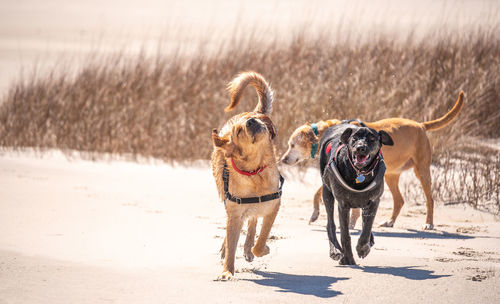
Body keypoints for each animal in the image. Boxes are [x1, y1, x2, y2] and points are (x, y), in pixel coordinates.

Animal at [210, 72, 282, 280]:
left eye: (251, 121)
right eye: (239, 130)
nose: (251, 121)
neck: (254, 172)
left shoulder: (273, 207)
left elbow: (262, 237)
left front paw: (262, 249)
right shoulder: (234, 213)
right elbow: (231, 242)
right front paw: (227, 272)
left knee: (252, 223)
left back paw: (249, 249)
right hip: (227, 201)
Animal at [282, 91, 464, 229]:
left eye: (292, 145)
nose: (282, 160)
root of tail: (421, 125)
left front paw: (348, 222)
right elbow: (318, 194)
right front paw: (316, 215)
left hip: (422, 171)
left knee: (429, 199)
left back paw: (428, 223)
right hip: (391, 175)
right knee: (399, 200)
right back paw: (390, 222)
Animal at [320, 122, 394, 264]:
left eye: (372, 138)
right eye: (354, 138)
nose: (360, 148)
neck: (360, 173)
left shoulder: (374, 202)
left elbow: (367, 228)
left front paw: (362, 248)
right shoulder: (343, 205)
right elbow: (345, 235)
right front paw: (348, 258)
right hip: (327, 193)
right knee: (330, 224)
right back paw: (335, 251)